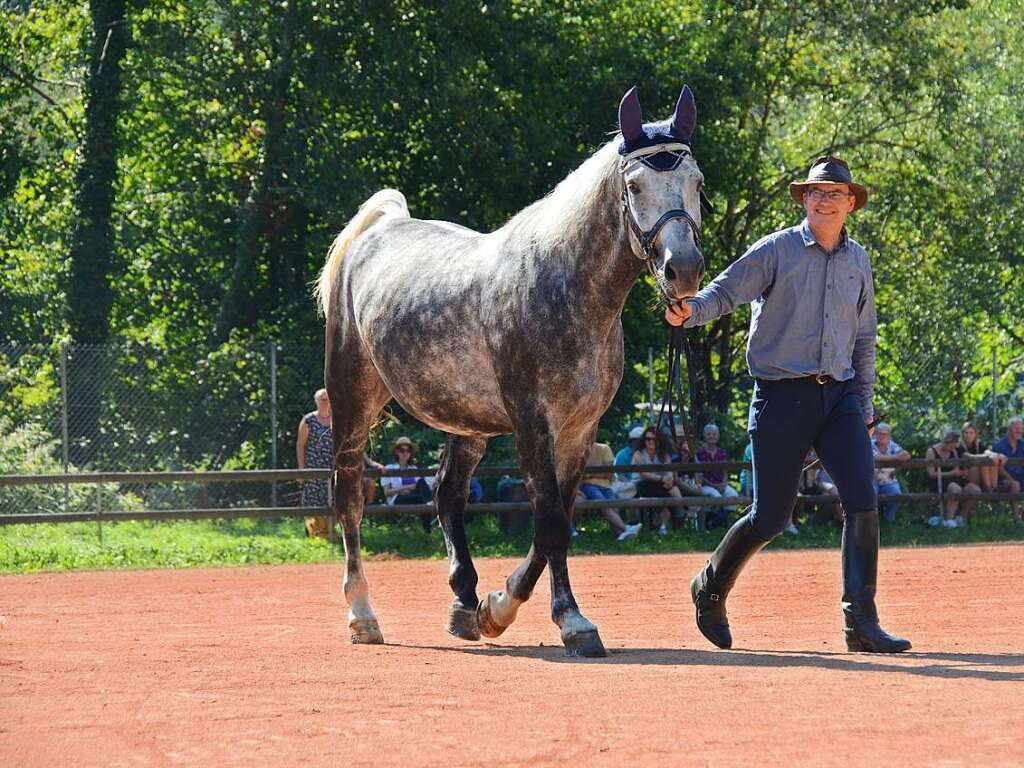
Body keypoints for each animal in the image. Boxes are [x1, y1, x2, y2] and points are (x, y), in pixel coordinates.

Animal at [317, 85, 704, 663]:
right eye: (634, 185)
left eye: (697, 181)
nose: (685, 269)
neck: (563, 286)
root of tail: (379, 229)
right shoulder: (531, 425)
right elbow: (550, 523)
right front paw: (572, 622)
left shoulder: (578, 431)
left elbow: (556, 522)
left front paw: (495, 608)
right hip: (352, 399)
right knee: (348, 497)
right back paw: (363, 615)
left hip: (466, 423)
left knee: (447, 495)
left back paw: (463, 603)